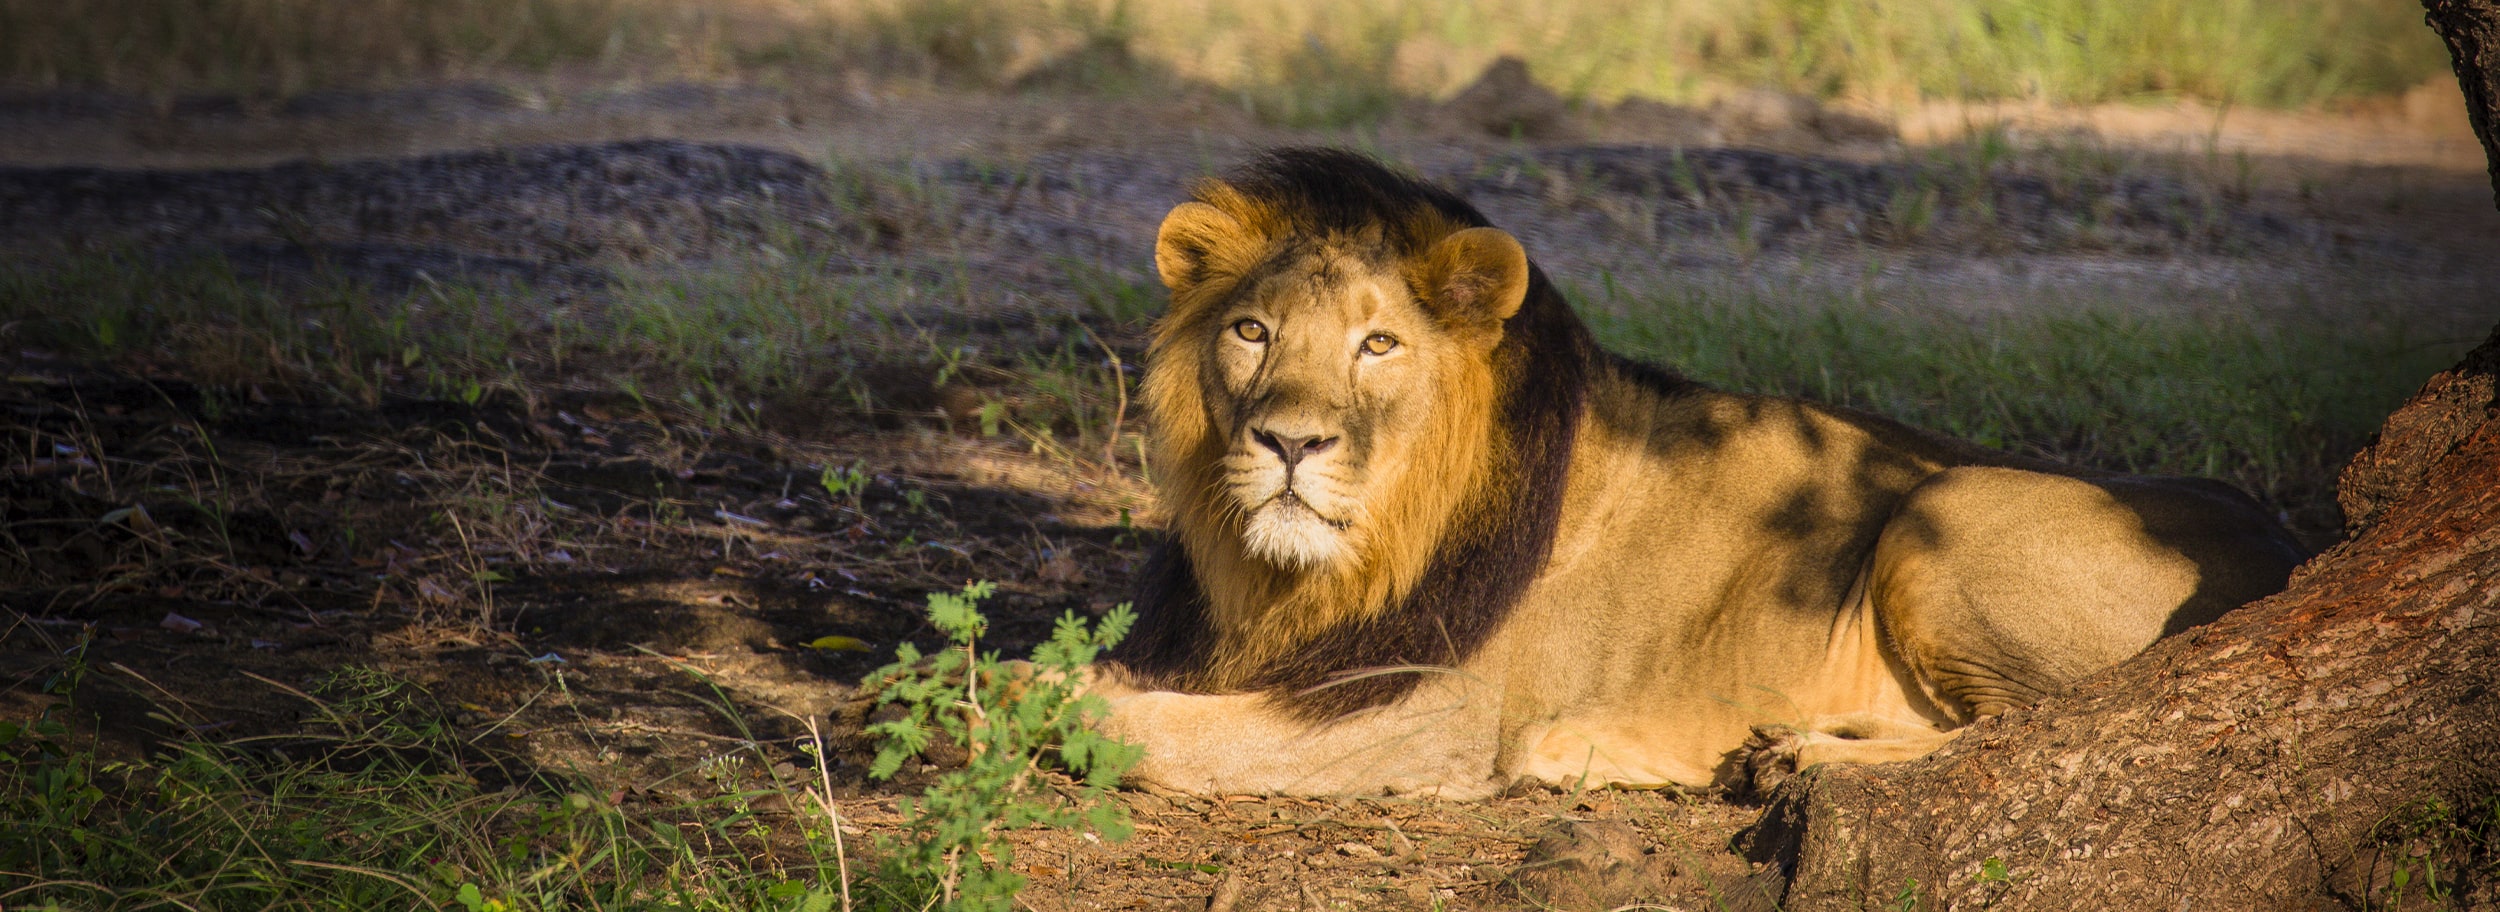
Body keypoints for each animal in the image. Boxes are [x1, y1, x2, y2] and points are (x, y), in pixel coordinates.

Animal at [1095, 149, 2300, 794]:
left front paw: (1051, 703)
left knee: (2032, 726)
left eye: (1377, 344)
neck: (1307, 572)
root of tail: (2286, 537)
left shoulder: (1420, 715)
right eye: (1251, 331)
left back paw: (1792, 757)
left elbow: (1162, 728)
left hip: (1946, 506)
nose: (1288, 443)